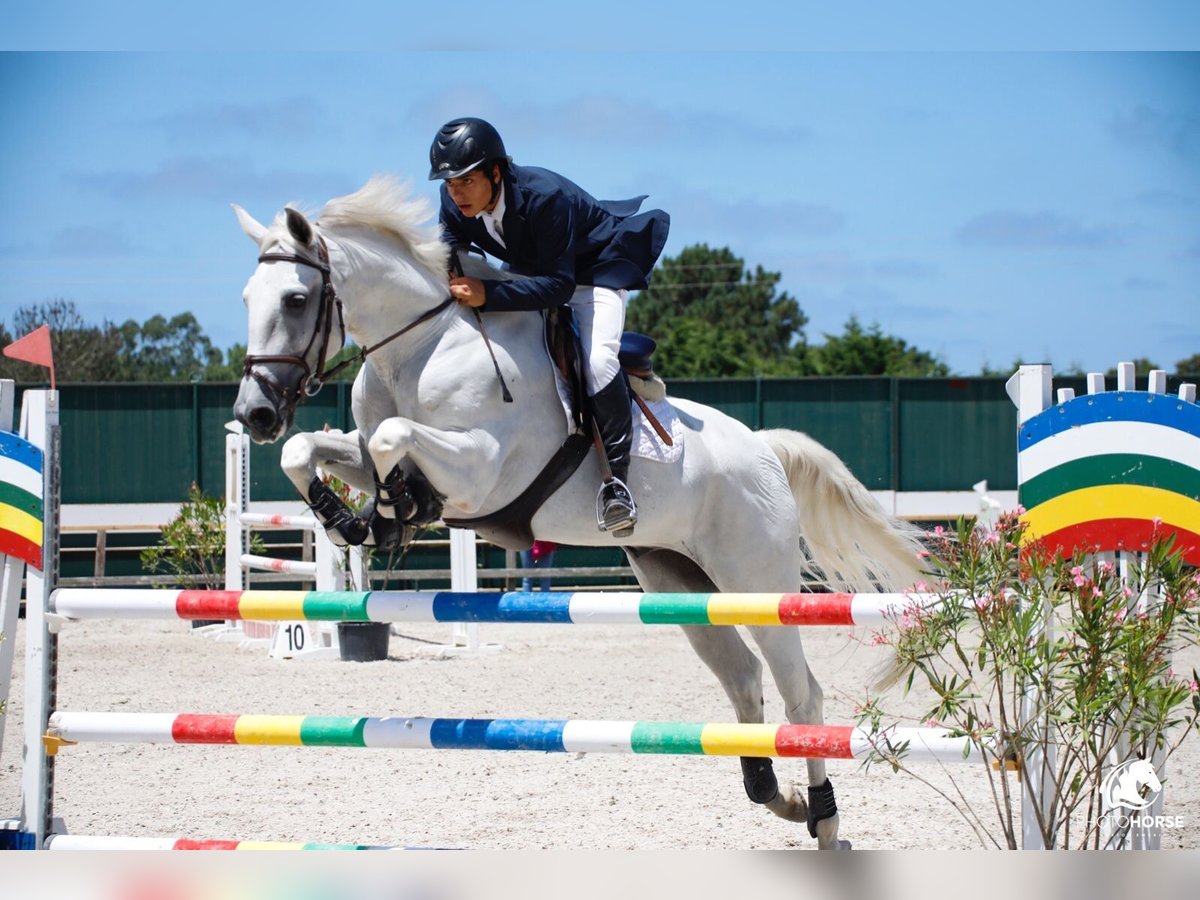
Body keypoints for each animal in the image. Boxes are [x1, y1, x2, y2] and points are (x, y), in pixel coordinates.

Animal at [236, 174, 926, 854]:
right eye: (247, 297)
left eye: (295, 299)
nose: (255, 415)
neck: (421, 348)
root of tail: (763, 447)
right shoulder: (365, 449)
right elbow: (316, 450)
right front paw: (357, 517)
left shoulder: (478, 472)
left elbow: (391, 438)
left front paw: (392, 510)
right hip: (676, 580)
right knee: (742, 675)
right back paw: (776, 796)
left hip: (754, 580)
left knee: (799, 691)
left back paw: (824, 818)